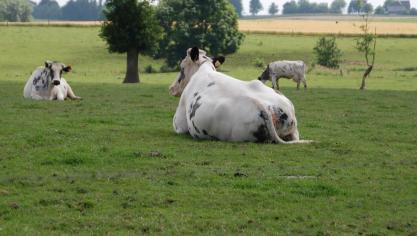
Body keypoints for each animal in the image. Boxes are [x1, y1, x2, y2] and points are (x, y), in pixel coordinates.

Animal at [167, 47, 310, 144]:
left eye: (181, 68)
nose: (171, 88)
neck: (204, 69)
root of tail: (265, 108)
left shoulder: (179, 123)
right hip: (293, 130)